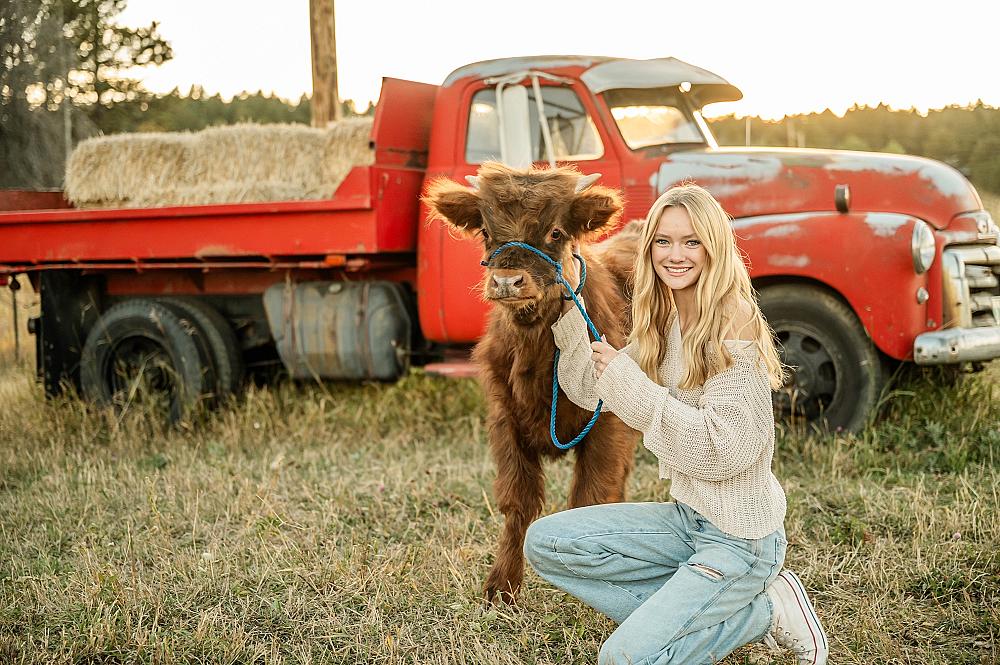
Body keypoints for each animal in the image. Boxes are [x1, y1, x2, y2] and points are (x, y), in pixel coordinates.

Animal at [424, 162, 641, 602]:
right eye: (486, 231)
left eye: (555, 232)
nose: (508, 281)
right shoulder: (505, 420)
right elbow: (518, 503)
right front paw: (501, 586)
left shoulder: (607, 426)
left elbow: (589, 498)